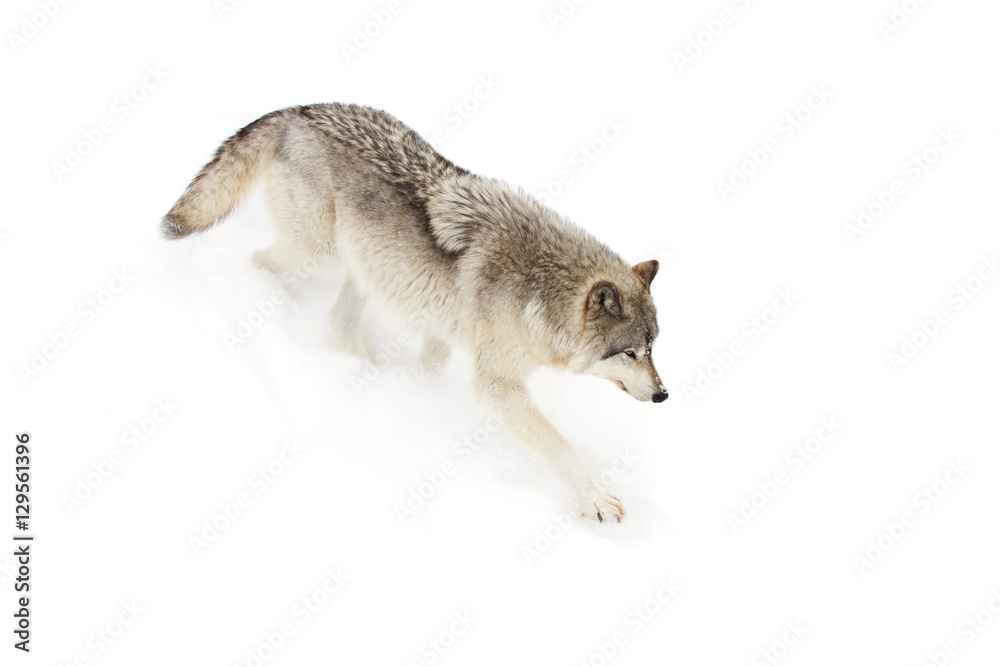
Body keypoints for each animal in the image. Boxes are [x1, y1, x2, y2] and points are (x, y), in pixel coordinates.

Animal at [162, 103, 667, 522]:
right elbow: (560, 444)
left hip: (366, 268)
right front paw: (595, 500)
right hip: (316, 252)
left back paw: (366, 371)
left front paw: (419, 397)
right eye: (629, 353)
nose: (664, 395)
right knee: (258, 262)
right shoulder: (497, 385)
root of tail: (301, 109)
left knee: (339, 320)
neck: (538, 287)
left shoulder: (441, 333)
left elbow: (429, 370)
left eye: (652, 347)